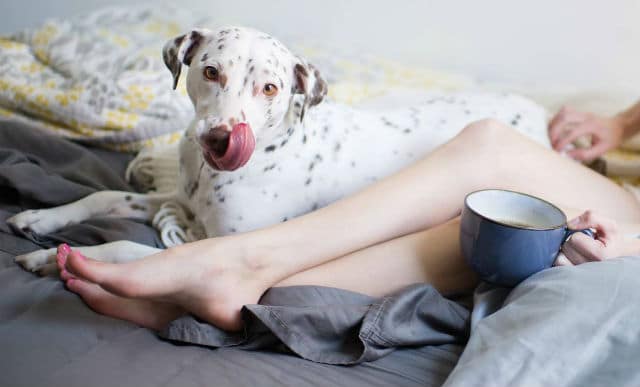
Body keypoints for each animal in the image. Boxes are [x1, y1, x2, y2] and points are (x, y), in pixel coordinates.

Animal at [7, 26, 548, 276]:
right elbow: (100, 198)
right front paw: (40, 218)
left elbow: (126, 248)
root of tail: (535, 115)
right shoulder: (179, 200)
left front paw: (58, 258)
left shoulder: (214, 246)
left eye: (269, 88)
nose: (220, 138)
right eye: (210, 71)